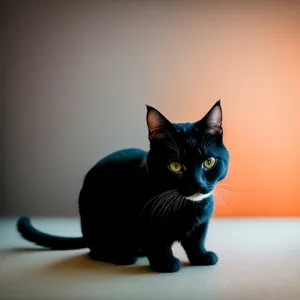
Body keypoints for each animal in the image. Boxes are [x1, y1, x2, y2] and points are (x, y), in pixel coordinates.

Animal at [17, 100, 230, 272]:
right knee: (95, 251)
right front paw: (165, 263)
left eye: (209, 162)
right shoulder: (143, 219)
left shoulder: (201, 222)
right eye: (175, 166)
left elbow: (196, 240)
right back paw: (123, 255)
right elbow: (156, 242)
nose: (197, 183)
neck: (186, 205)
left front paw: (201, 256)